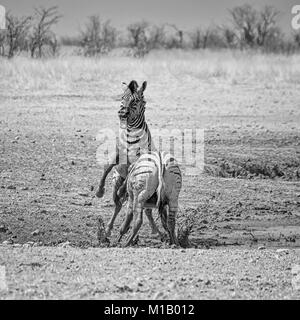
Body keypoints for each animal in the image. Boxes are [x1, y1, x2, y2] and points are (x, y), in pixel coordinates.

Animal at [96, 80, 162, 238]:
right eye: (123, 97)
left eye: (136, 101)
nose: (121, 113)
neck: (131, 134)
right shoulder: (118, 153)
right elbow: (107, 168)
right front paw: (99, 191)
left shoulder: (136, 160)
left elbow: (128, 174)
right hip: (116, 180)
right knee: (118, 204)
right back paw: (109, 228)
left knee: (144, 209)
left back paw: (155, 231)